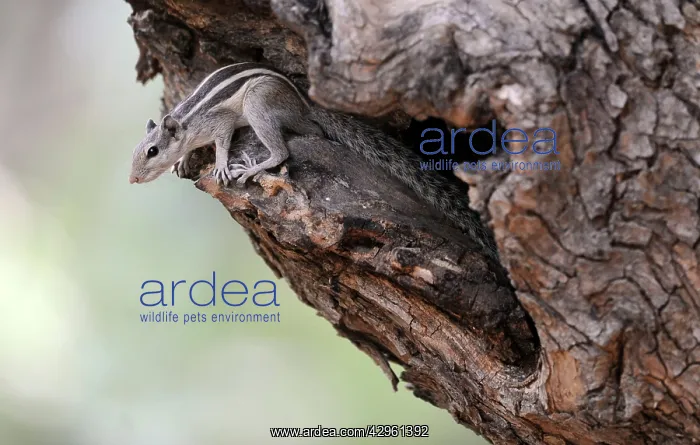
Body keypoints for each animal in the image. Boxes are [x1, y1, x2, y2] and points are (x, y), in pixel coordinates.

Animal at [129, 62, 499, 261]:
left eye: (152, 152)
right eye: (136, 152)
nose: (132, 180)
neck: (187, 122)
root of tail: (303, 104)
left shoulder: (218, 122)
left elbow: (221, 141)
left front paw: (218, 163)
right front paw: (183, 160)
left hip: (259, 105)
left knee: (290, 145)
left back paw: (253, 167)